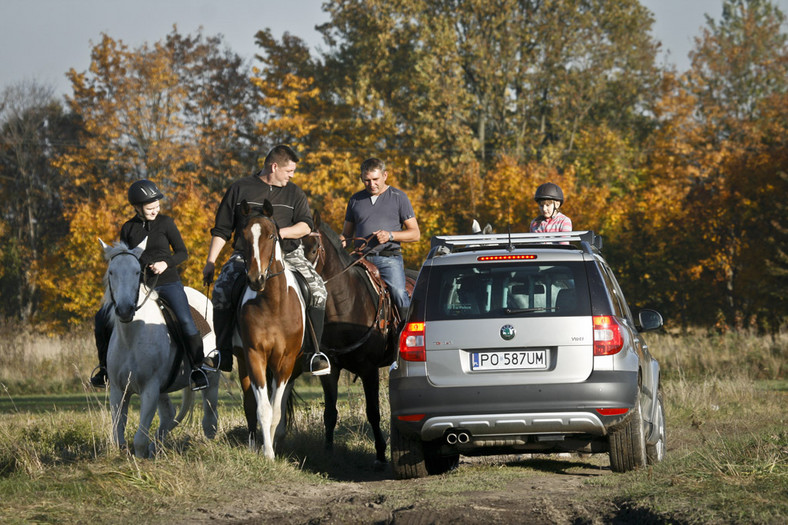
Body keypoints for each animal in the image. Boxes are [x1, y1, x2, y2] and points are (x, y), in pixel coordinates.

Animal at [101, 237, 222, 454]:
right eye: (111, 272)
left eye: (137, 272)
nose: (124, 310)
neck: (132, 337)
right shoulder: (118, 389)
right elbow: (118, 435)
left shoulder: (150, 388)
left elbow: (139, 439)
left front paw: (141, 456)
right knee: (169, 415)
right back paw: (155, 448)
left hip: (211, 376)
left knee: (210, 412)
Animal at [235, 199, 304, 456]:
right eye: (243, 236)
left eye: (272, 235)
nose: (256, 279)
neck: (273, 304)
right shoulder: (255, 355)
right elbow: (262, 408)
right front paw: (267, 453)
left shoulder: (286, 361)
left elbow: (276, 410)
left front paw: (272, 447)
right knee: (249, 403)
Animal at [302, 213, 416, 466]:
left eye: (313, 249)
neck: (346, 304)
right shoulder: (330, 369)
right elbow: (330, 413)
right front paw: (328, 452)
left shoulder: (369, 369)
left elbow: (373, 411)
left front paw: (381, 454)